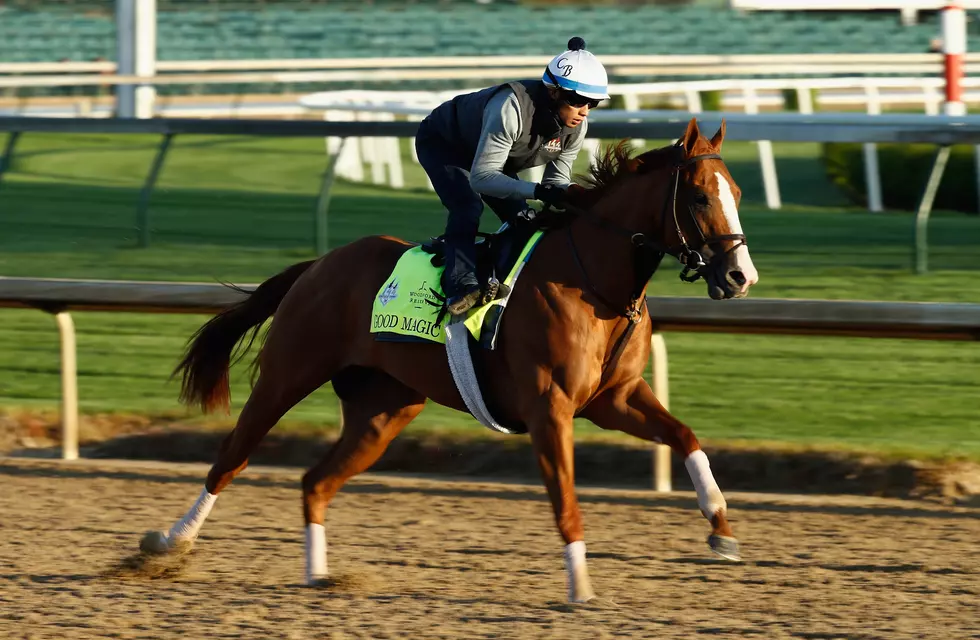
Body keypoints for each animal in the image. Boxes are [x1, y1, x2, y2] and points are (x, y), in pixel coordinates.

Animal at [142, 117, 760, 604]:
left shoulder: (615, 398)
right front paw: (580, 586)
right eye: (700, 196)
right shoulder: (550, 409)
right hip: (288, 374)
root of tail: (319, 264)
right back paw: (168, 542)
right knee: (232, 459)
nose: (740, 277)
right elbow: (565, 500)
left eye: (736, 192)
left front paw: (721, 526)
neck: (594, 283)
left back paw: (319, 575)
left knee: (315, 482)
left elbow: (685, 436)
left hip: (384, 411)